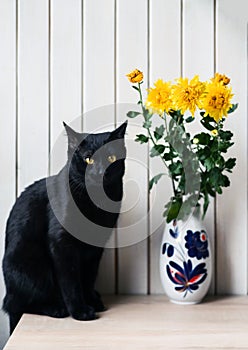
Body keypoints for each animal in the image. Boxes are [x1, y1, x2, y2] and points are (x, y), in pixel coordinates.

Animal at [1, 120, 126, 334]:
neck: (96, 202)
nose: (99, 172)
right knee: (20, 303)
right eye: (88, 159)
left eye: (111, 158)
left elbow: (88, 276)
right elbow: (71, 280)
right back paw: (56, 308)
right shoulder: (61, 243)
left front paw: (91, 301)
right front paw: (80, 311)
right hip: (33, 266)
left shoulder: (95, 248)